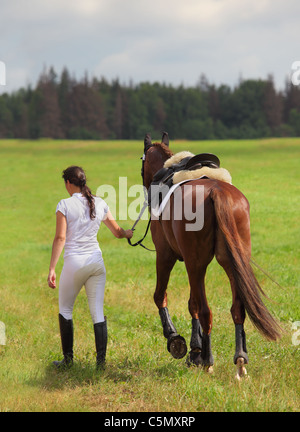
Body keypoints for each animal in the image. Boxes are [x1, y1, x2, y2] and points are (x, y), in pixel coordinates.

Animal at [138, 132, 282, 378]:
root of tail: (217, 192)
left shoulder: (166, 256)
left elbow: (162, 296)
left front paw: (177, 341)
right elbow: (191, 303)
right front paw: (194, 351)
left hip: (196, 263)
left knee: (206, 311)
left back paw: (208, 360)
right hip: (232, 261)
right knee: (237, 308)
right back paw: (240, 359)